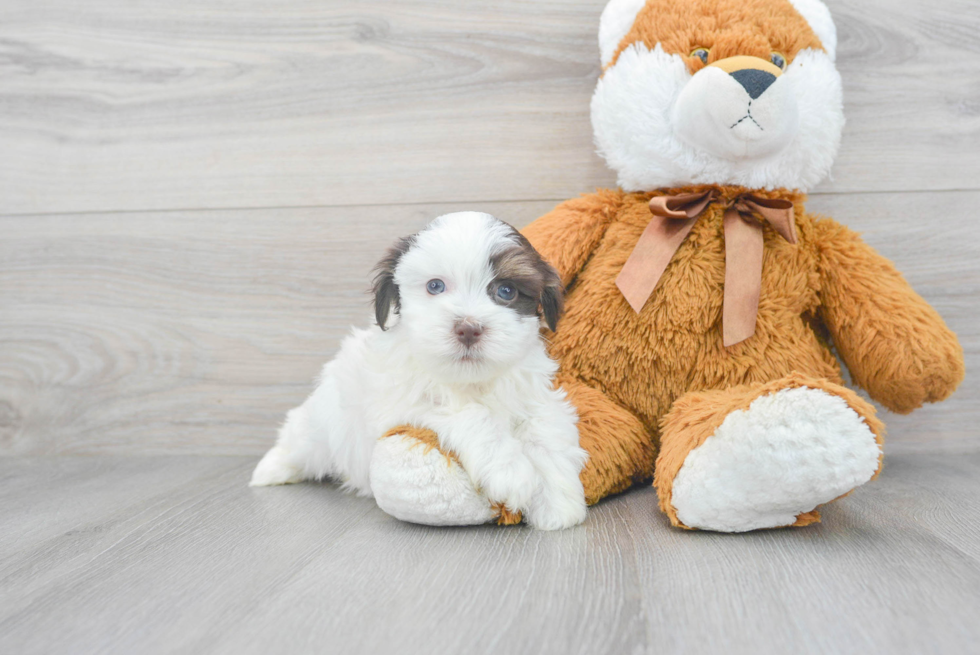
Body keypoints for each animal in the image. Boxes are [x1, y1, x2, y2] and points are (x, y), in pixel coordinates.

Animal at [253, 213, 588, 532]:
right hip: (320, 427)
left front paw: (557, 501)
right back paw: (269, 471)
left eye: (506, 291)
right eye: (435, 286)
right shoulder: (405, 404)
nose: (468, 328)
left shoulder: (536, 396)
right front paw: (511, 471)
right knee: (298, 441)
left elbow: (545, 430)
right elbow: (471, 415)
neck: (471, 381)